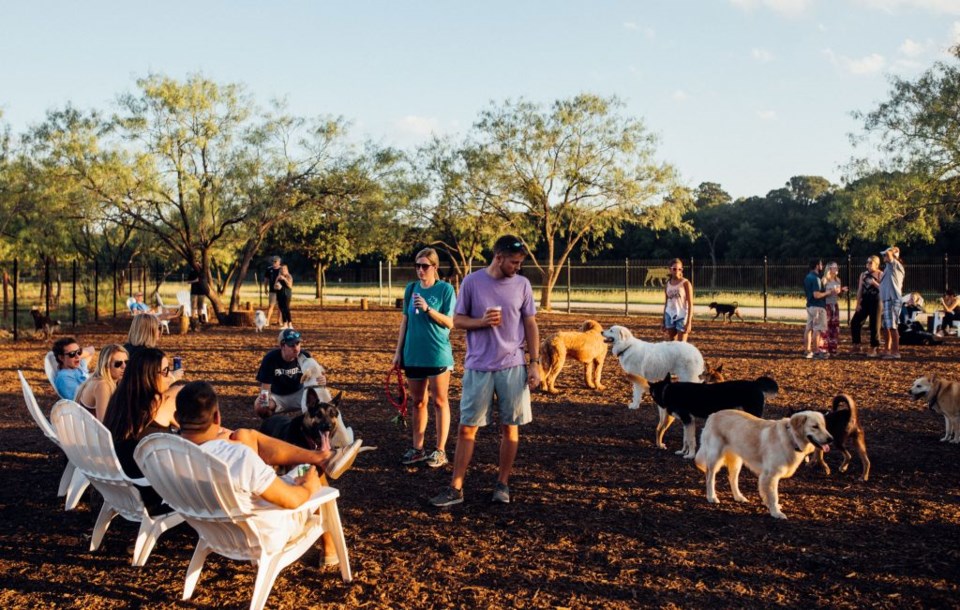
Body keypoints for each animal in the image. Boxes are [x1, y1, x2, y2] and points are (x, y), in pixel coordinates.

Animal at [644, 370, 780, 456]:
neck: (667, 390)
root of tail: (755, 383)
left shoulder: (688, 420)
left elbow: (691, 440)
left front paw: (689, 455)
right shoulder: (687, 421)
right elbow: (686, 439)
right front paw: (683, 452)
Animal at [692, 408, 836, 516]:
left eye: (824, 426)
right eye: (815, 427)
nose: (831, 439)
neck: (791, 438)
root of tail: (713, 415)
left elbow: (769, 495)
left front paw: (771, 506)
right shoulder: (770, 475)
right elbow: (773, 495)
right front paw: (776, 513)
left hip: (737, 461)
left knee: (732, 479)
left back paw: (738, 497)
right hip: (714, 458)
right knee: (710, 477)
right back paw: (712, 497)